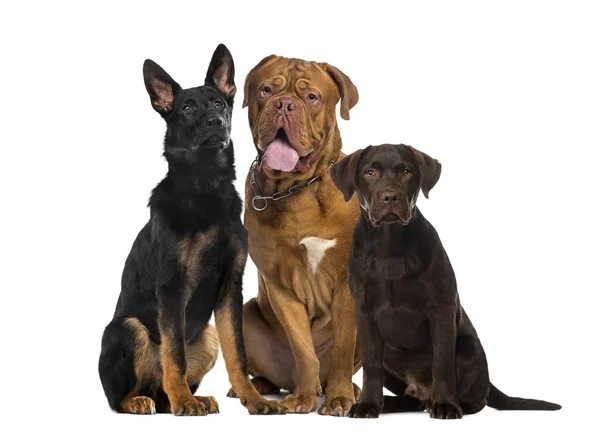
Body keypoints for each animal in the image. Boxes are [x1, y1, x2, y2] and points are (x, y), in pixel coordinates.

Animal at [98, 44, 286, 416]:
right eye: (186, 107)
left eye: (218, 103)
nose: (216, 123)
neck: (206, 186)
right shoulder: (173, 287)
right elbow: (175, 354)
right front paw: (184, 401)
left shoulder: (230, 287)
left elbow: (238, 355)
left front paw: (255, 400)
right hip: (128, 327)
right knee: (121, 395)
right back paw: (149, 399)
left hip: (208, 336)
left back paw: (187, 397)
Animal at [330, 144, 560, 420]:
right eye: (370, 172)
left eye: (406, 171)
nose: (390, 197)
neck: (390, 244)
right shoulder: (364, 312)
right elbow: (372, 365)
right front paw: (368, 404)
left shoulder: (441, 309)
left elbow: (442, 363)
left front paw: (447, 405)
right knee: (411, 397)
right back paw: (392, 403)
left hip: (467, 349)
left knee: (476, 398)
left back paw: (446, 403)